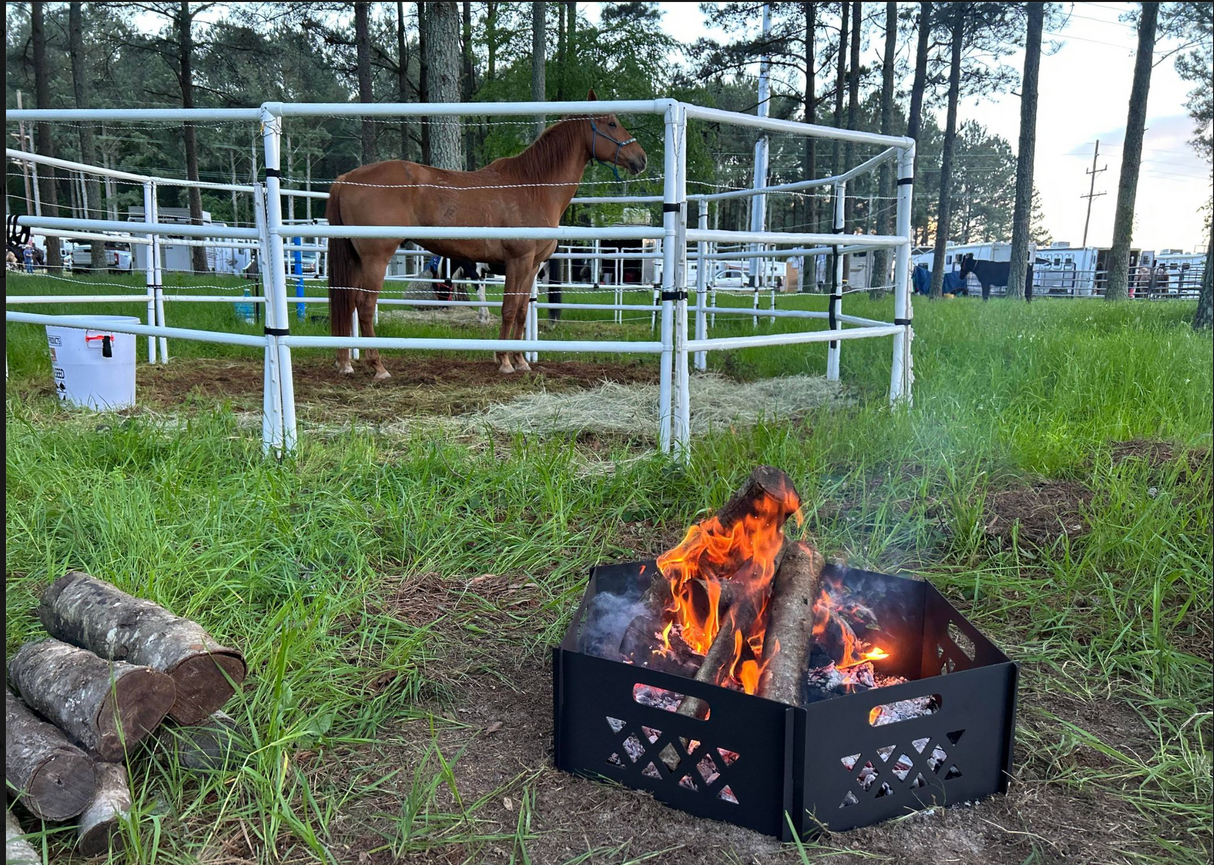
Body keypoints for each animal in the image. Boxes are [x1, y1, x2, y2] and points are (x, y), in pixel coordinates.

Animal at [326, 89, 647, 378]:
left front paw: (521, 361)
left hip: (359, 259)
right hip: (376, 258)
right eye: (611, 123)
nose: (641, 159)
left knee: (348, 302)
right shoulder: (518, 261)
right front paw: (504, 361)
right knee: (364, 306)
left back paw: (346, 363)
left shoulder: (531, 266)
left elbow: (521, 310)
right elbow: (508, 309)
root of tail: (346, 178)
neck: (533, 187)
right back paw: (378, 367)